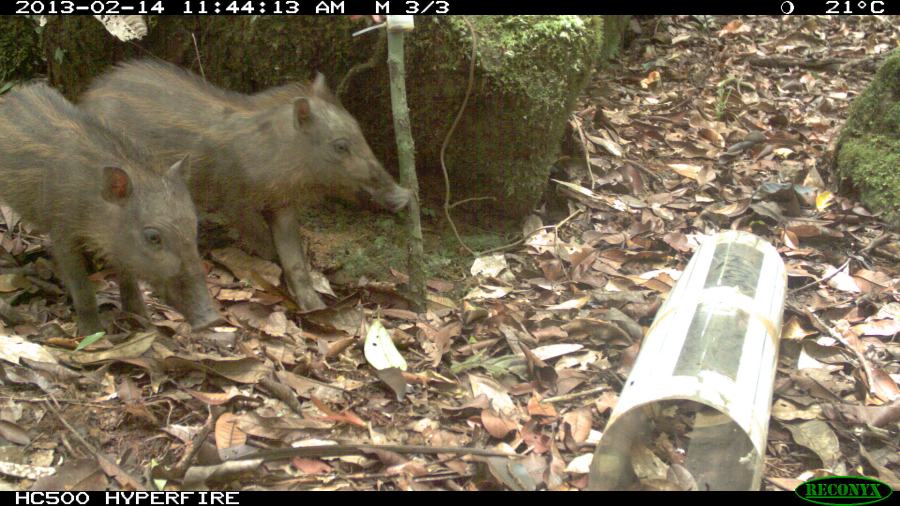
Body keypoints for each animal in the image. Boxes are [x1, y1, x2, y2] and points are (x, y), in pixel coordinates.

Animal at [0, 82, 222, 334]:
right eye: (153, 236)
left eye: (194, 227)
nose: (212, 320)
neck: (92, 200)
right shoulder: (62, 231)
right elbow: (81, 284)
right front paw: (92, 333)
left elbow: (127, 275)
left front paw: (142, 319)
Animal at [80, 59, 411, 312]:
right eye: (341, 146)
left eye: (361, 133)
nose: (404, 196)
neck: (277, 152)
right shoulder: (234, 200)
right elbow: (266, 244)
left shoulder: (282, 204)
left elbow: (294, 258)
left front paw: (315, 307)